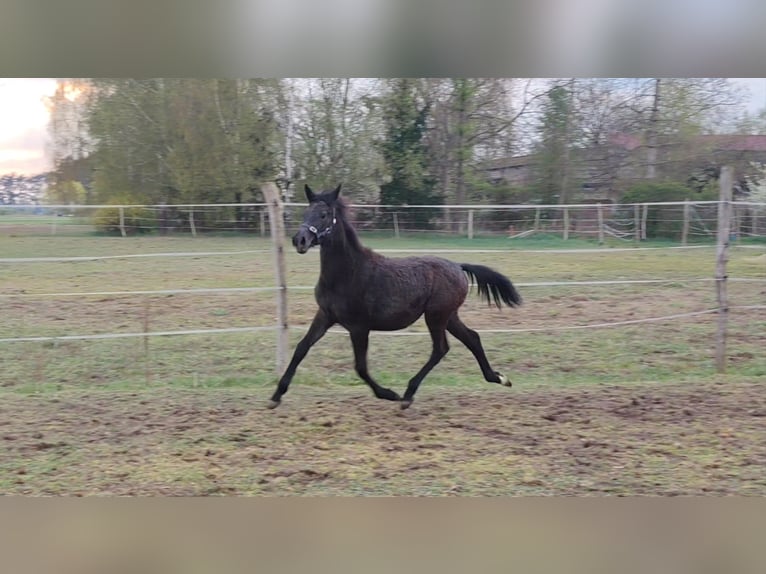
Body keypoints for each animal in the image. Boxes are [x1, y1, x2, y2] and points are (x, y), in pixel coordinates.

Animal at [268, 184, 522, 410]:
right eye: (305, 212)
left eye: (324, 214)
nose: (300, 240)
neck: (349, 273)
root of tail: (458, 267)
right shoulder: (325, 315)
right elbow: (301, 348)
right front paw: (276, 396)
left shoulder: (359, 327)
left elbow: (360, 367)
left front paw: (389, 394)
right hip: (449, 316)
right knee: (472, 338)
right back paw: (498, 378)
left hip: (436, 316)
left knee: (440, 349)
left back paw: (408, 395)